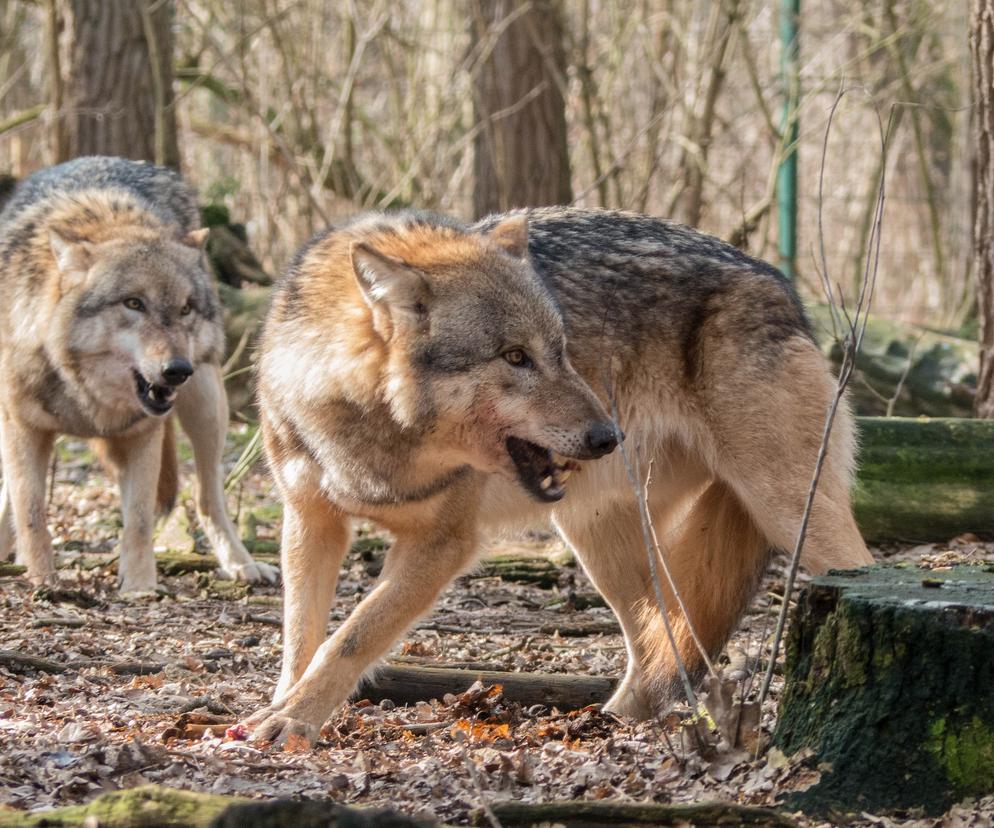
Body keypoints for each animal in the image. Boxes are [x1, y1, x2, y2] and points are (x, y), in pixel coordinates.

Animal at [0, 155, 278, 592]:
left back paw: (241, 564)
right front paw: (44, 579)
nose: (177, 370)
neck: (85, 395)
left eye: (185, 309)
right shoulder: (23, 429)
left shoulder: (143, 435)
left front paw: (140, 588)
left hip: (207, 406)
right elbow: (30, 511)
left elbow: (141, 520)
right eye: (133, 303)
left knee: (207, 497)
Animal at [240, 207, 868, 744]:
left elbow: (351, 637)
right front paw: (280, 708)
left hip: (791, 514)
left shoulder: (443, 543)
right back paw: (613, 724)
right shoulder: (309, 521)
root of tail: (780, 285)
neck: (371, 432)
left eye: (561, 349)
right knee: (659, 637)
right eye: (515, 357)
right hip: (599, 537)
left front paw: (291, 719)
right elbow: (301, 637)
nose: (608, 437)